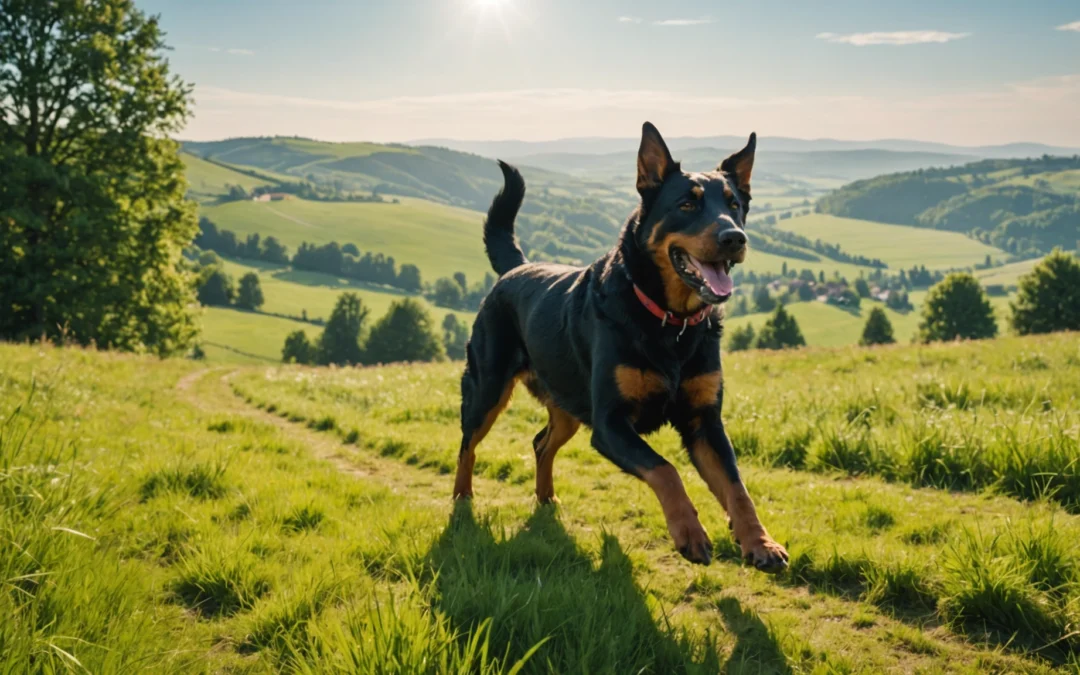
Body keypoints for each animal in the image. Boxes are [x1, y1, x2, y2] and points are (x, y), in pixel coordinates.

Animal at [451, 122, 790, 574]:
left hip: (569, 405)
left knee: (541, 442)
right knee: (467, 447)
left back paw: (545, 498)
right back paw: (461, 500)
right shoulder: (610, 424)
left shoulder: (704, 422)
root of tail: (516, 268)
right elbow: (666, 470)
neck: (670, 322)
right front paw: (690, 533)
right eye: (687, 204)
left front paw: (759, 541)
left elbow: (737, 486)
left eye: (735, 205)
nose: (735, 237)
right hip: (487, 389)